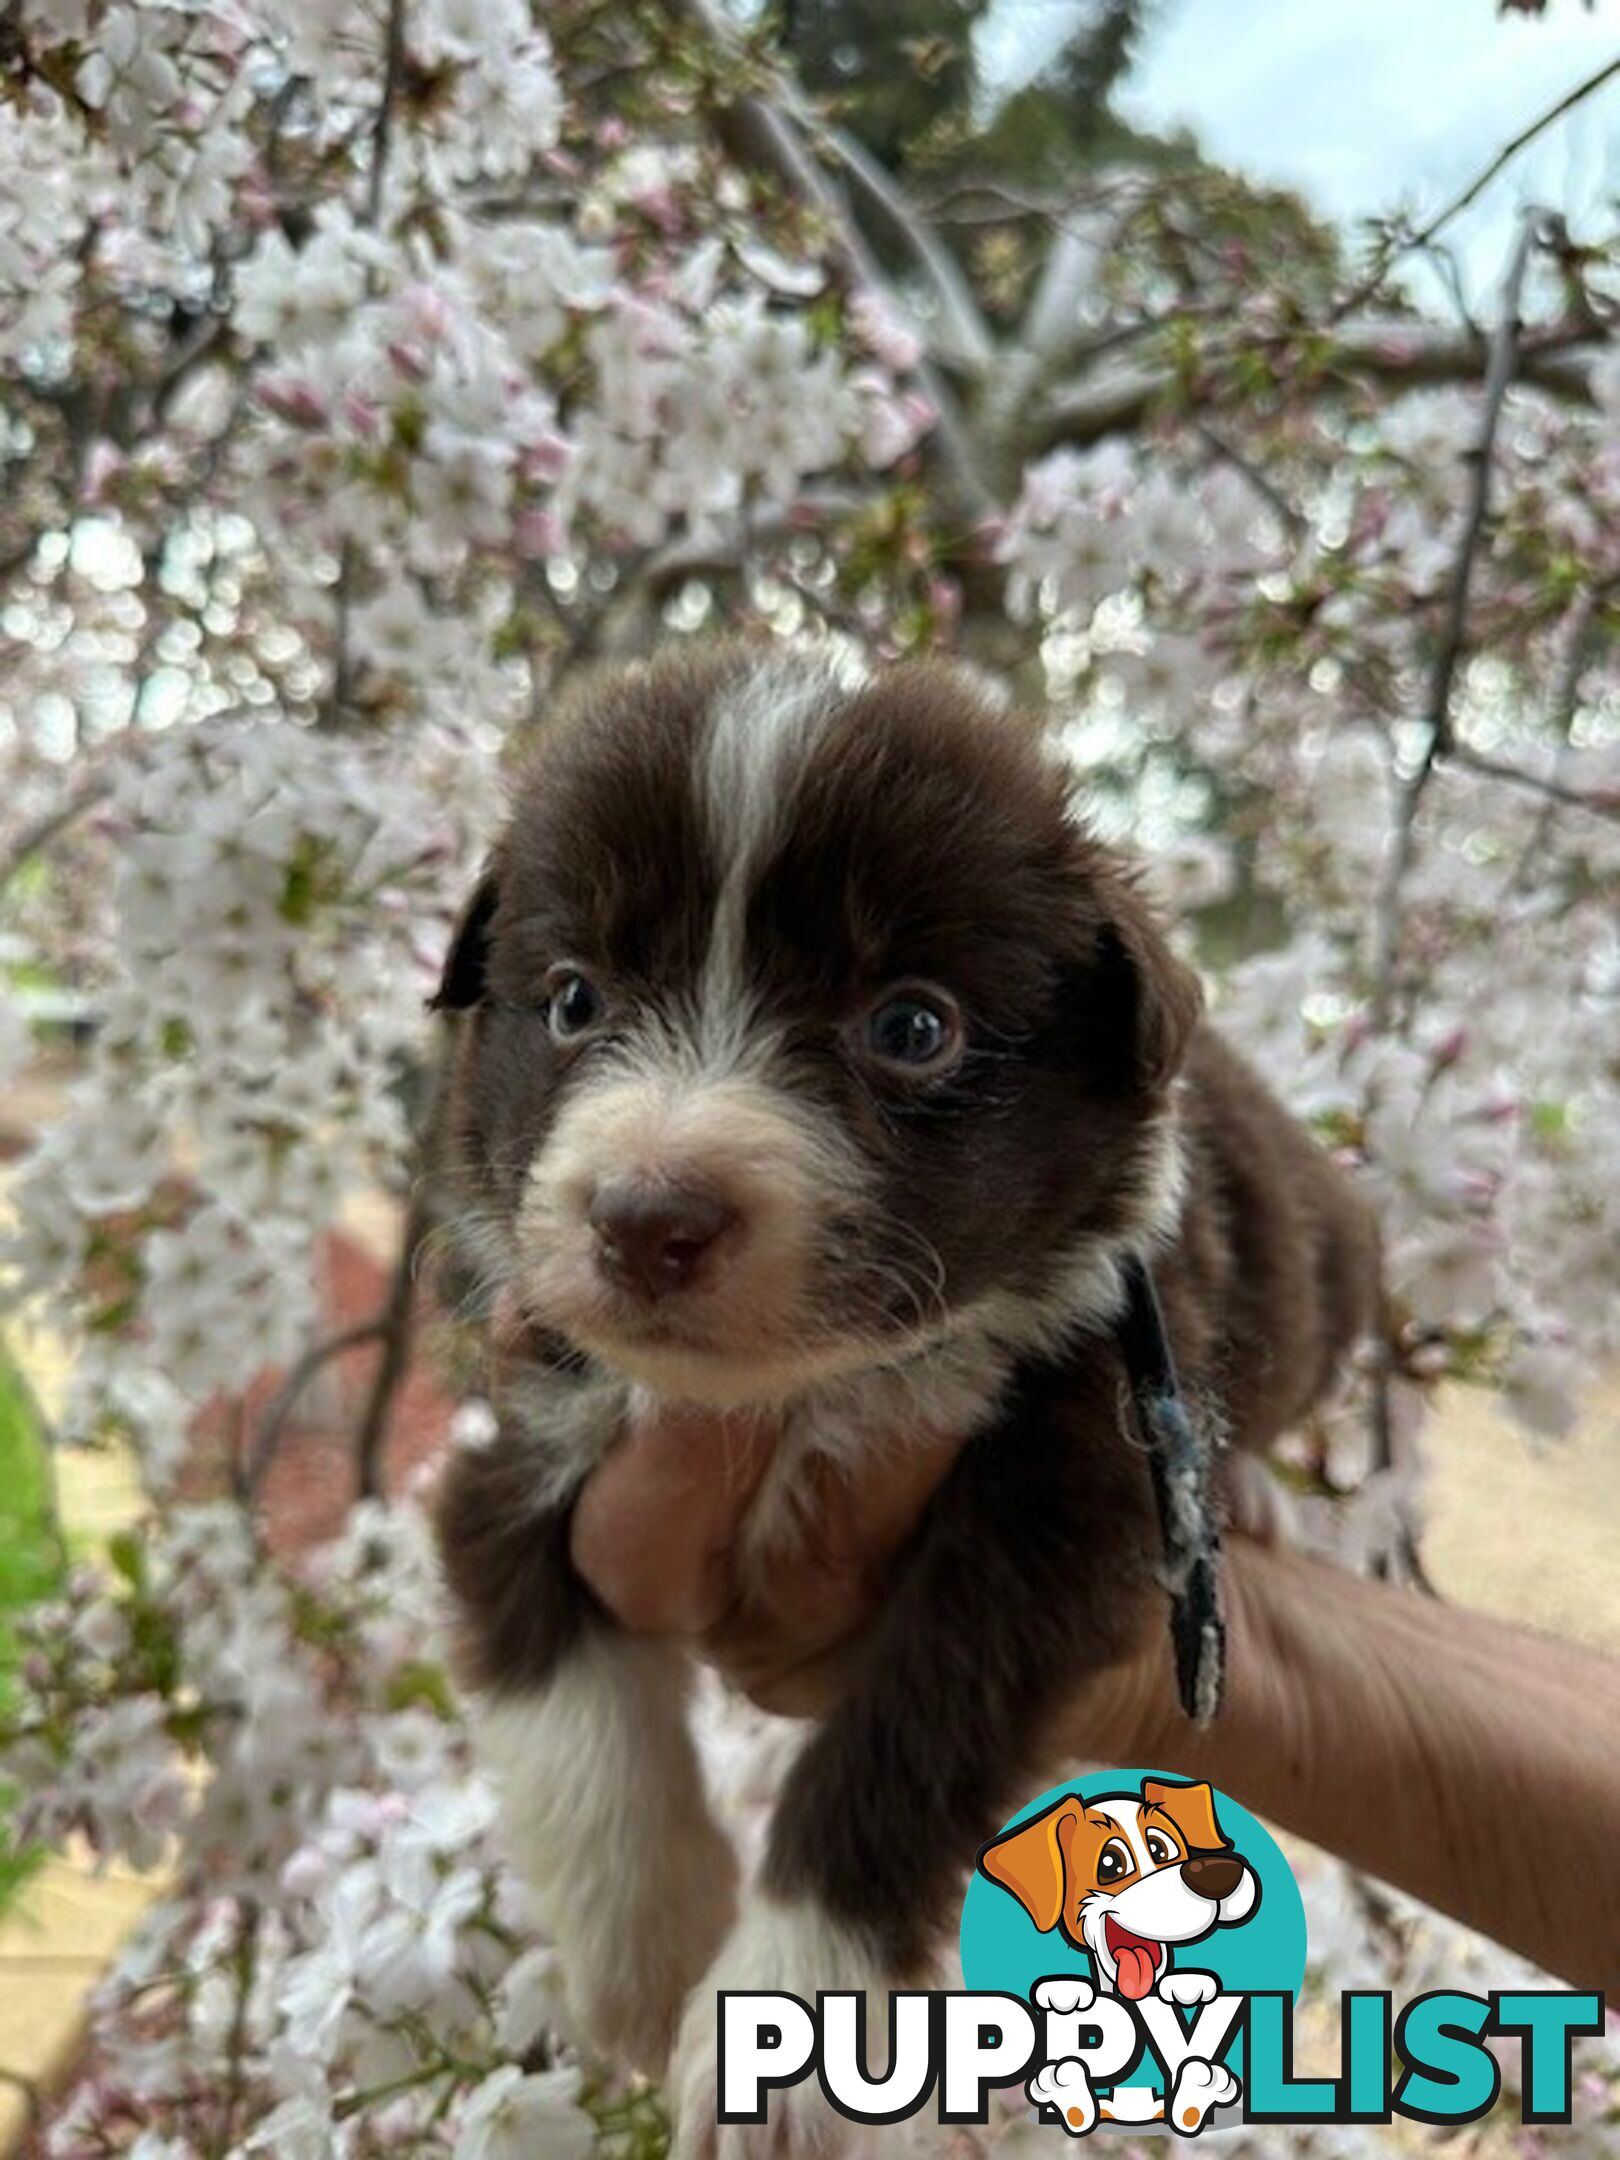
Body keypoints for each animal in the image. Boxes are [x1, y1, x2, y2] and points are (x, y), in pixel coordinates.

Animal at [432, 635, 1382, 2142]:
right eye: (575, 999)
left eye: (913, 1026)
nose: (647, 1219)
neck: (802, 1394)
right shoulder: (524, 1429)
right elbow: (564, 1699)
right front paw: (646, 1956)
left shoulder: (1066, 1484)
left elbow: (908, 1737)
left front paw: (792, 2026)